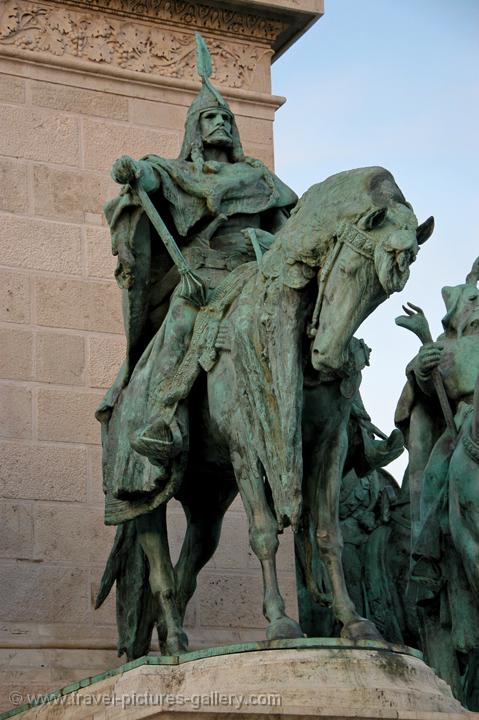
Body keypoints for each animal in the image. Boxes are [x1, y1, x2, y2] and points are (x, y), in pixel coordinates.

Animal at [97, 166, 436, 656]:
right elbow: (262, 531)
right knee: (158, 562)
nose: (329, 357)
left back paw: (174, 639)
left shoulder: (329, 446)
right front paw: (279, 622)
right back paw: (176, 641)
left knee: (186, 570)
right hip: (143, 489)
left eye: (384, 294)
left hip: (207, 500)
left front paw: (354, 622)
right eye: (349, 267)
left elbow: (328, 535)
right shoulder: (246, 442)